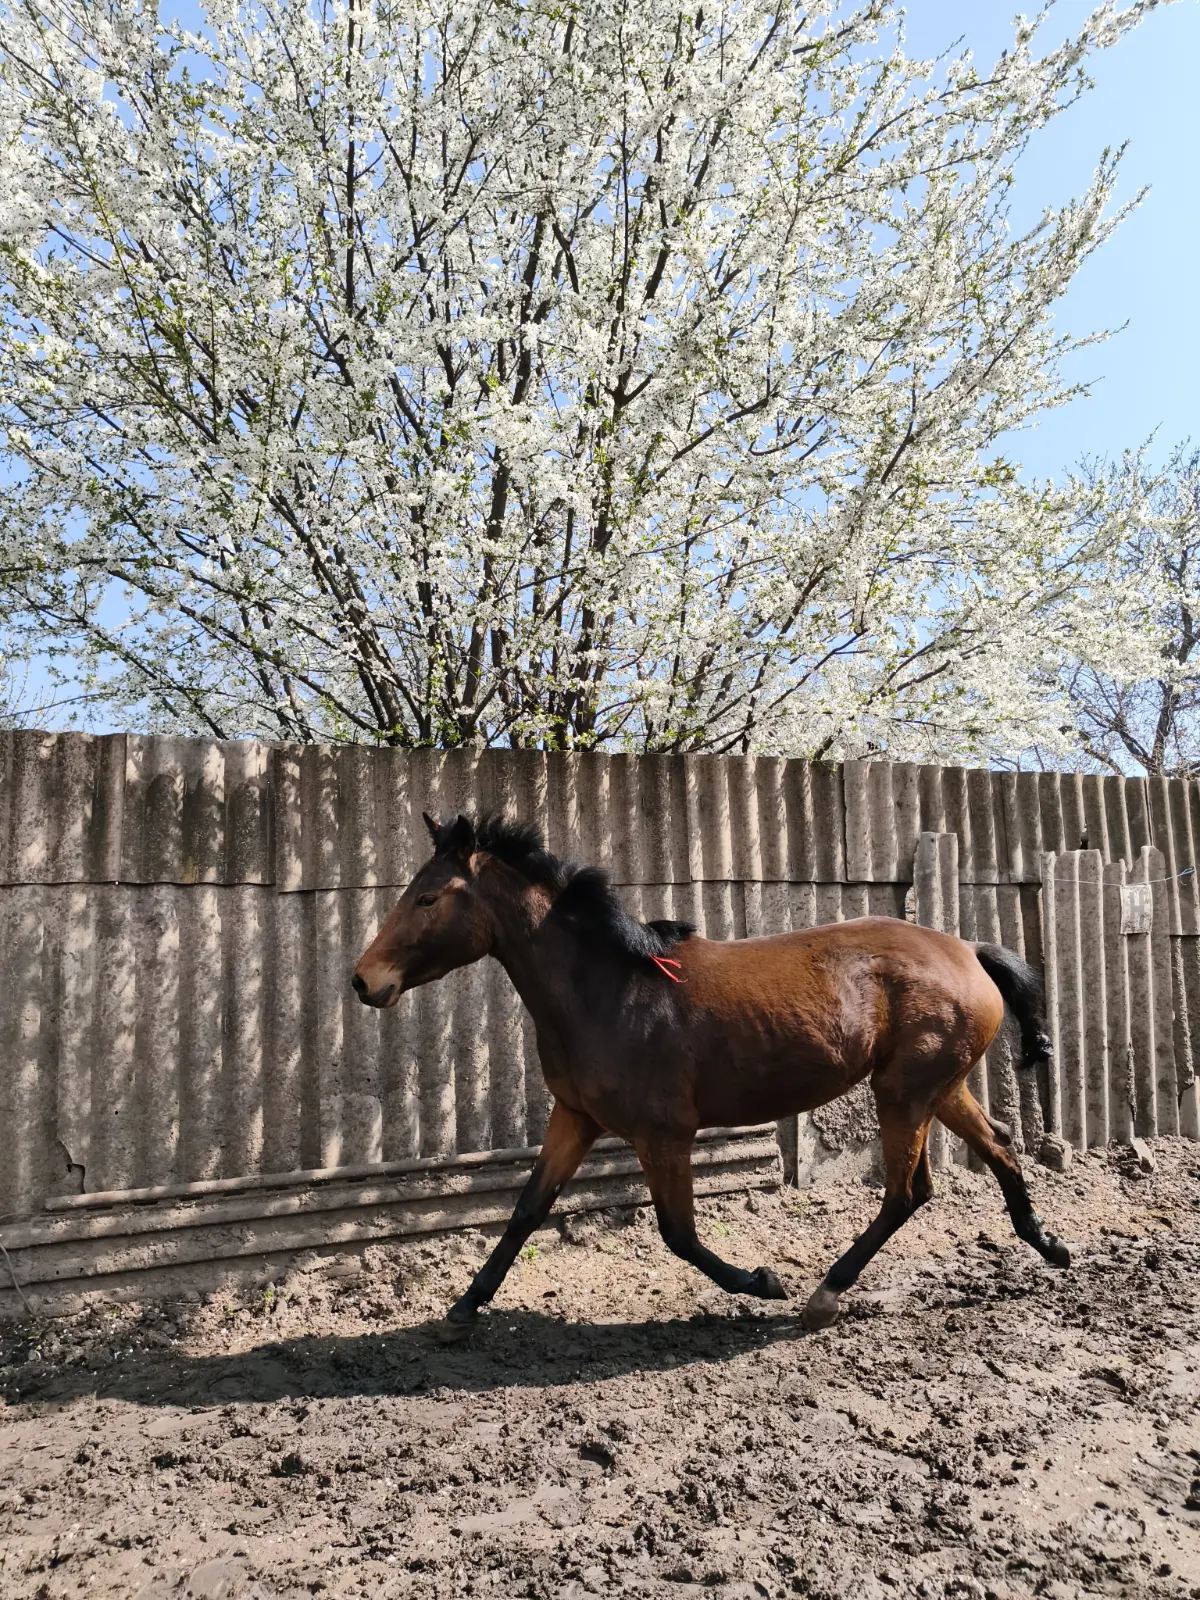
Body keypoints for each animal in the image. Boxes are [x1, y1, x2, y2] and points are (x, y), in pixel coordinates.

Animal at [352, 812, 1069, 1337]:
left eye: (427, 897)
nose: (364, 980)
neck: (609, 990)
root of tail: (969, 951)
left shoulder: (663, 1134)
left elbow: (678, 1234)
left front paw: (763, 1282)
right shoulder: (575, 1118)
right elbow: (528, 1208)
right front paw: (464, 1308)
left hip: (905, 1094)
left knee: (906, 1193)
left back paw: (822, 1295)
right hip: (937, 1088)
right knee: (998, 1147)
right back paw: (1050, 1246)